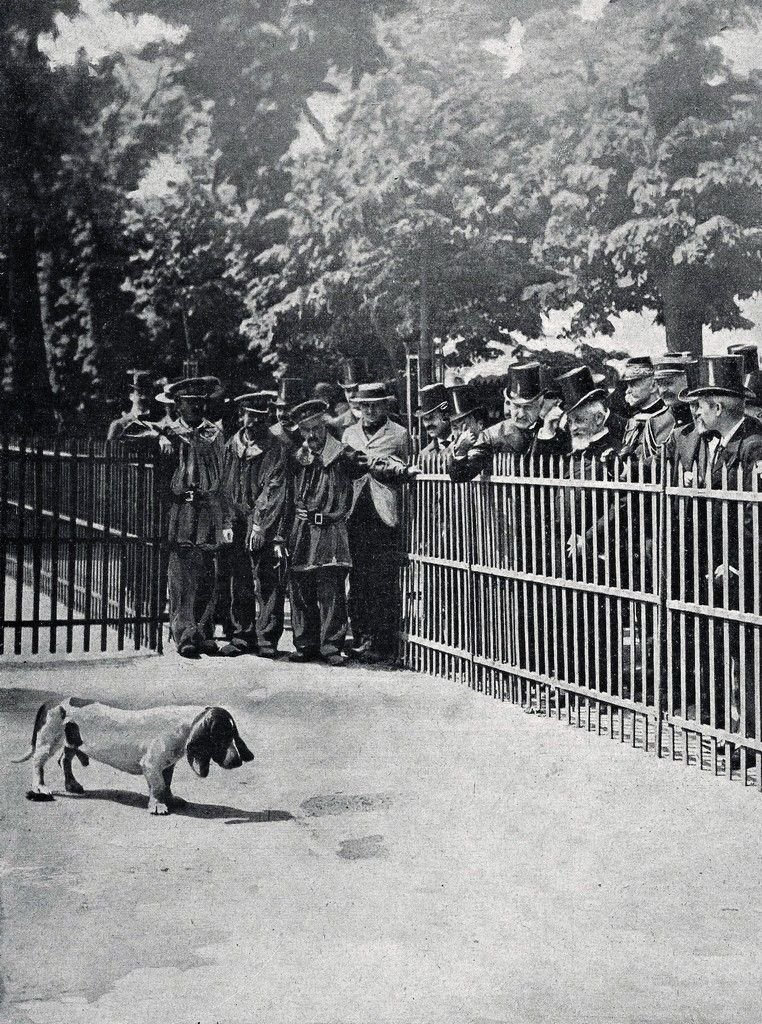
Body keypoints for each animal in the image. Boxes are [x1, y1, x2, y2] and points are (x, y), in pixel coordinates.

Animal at [11, 696, 254, 815]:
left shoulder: (167, 766)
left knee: (65, 760)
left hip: (73, 743)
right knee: (38, 764)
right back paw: (40, 787)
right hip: (47, 743)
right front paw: (158, 806)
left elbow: (167, 784)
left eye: (233, 734)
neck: (183, 726)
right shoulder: (151, 766)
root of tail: (50, 703)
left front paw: (170, 799)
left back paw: (73, 785)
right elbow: (157, 786)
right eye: (220, 735)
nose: (238, 761)